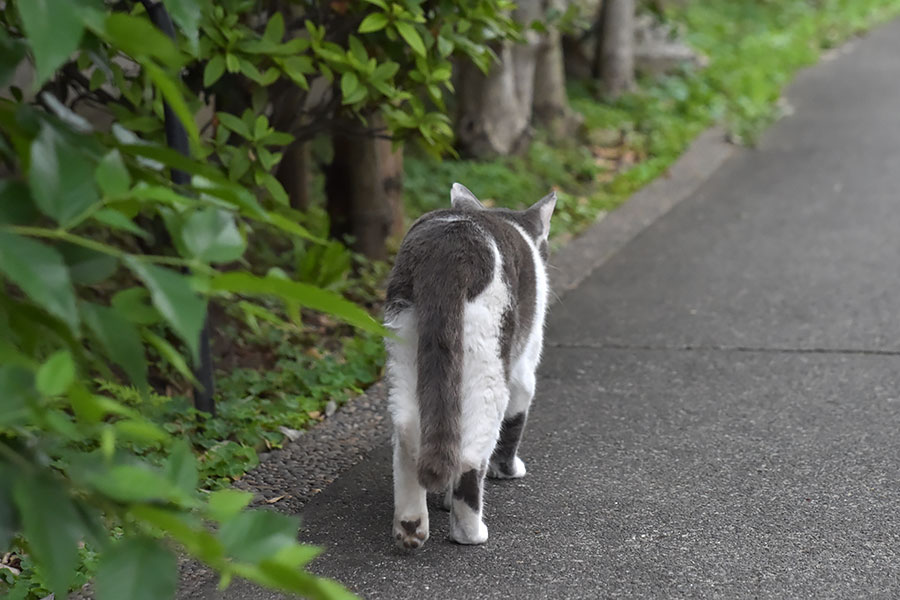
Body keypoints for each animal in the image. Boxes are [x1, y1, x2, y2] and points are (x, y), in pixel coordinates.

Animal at [382, 182, 552, 548]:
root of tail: (448, 251)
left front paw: (443, 500)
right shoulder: (524, 368)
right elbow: (515, 422)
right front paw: (508, 470)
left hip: (404, 348)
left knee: (409, 432)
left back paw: (411, 526)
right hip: (489, 366)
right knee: (471, 455)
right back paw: (470, 532)